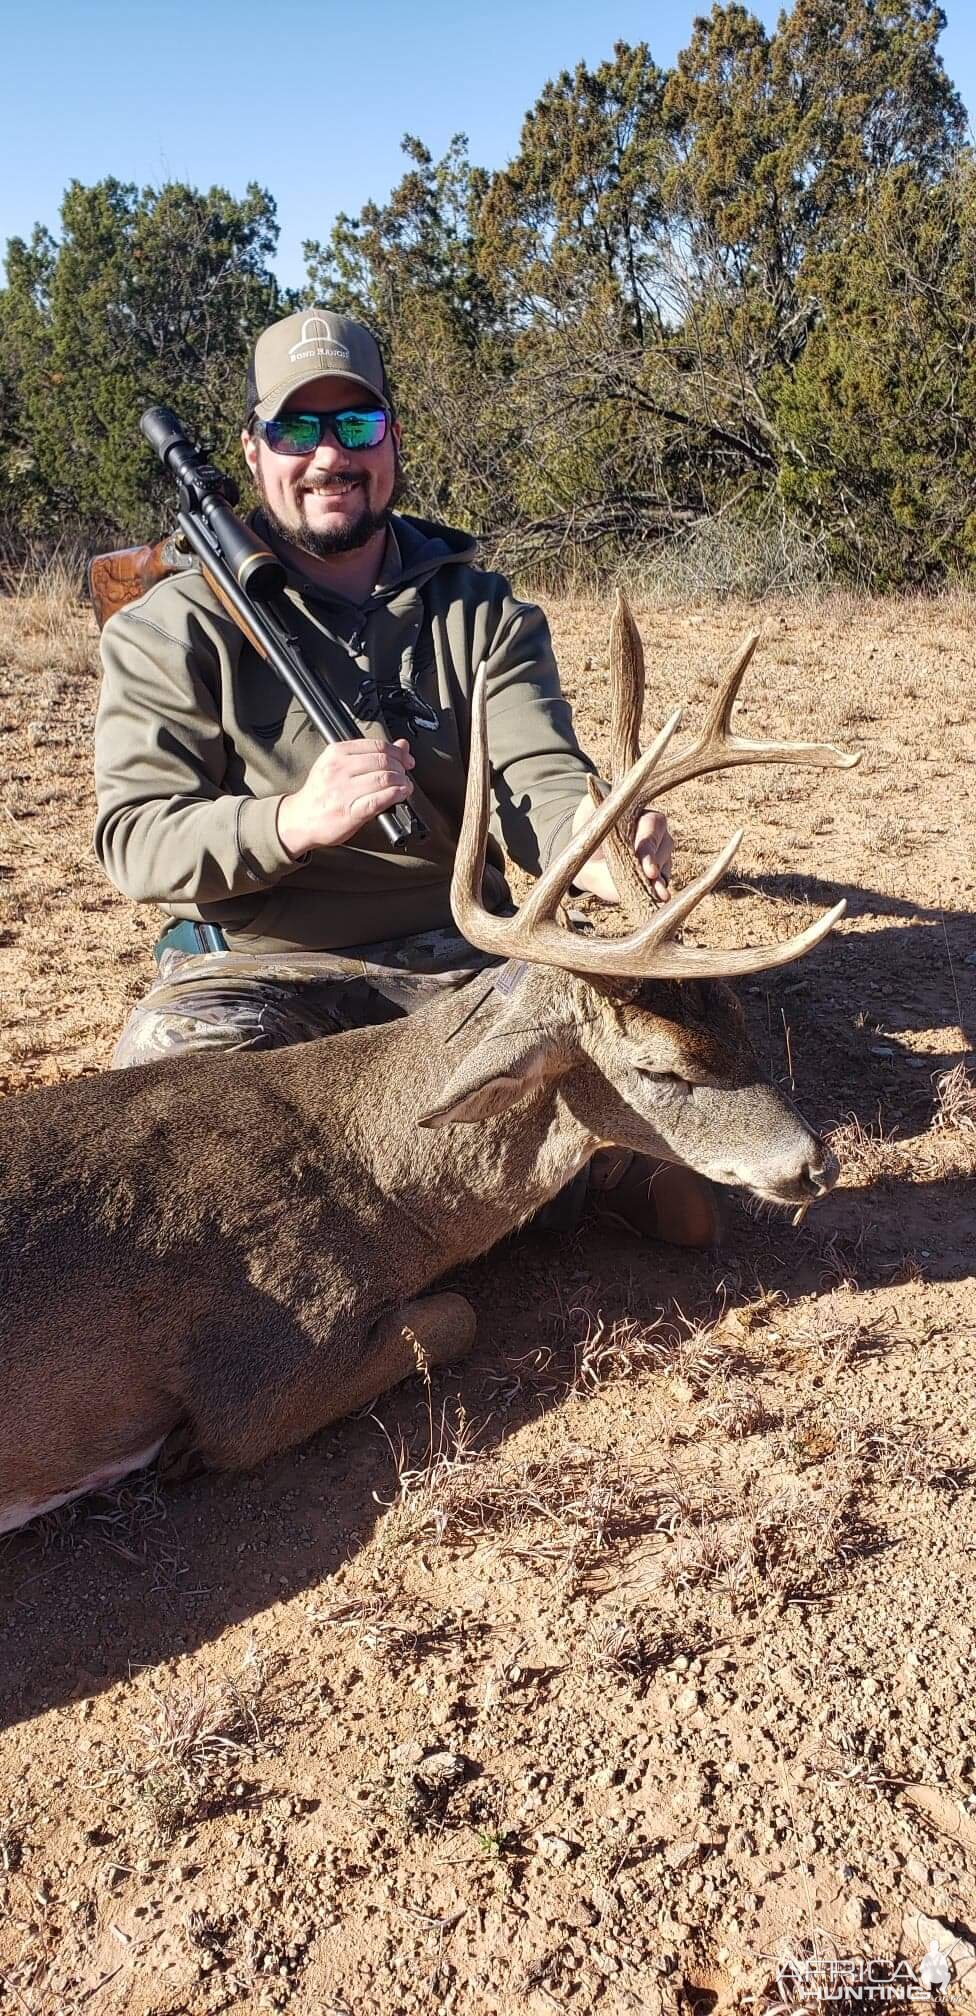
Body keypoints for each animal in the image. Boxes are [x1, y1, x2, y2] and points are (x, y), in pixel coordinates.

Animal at [0, 596, 855, 1524]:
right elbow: (452, 1318)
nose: (816, 1164)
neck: (372, 1177)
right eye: (661, 1069)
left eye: (740, 1018)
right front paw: (174, 1457)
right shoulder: (258, 1368)